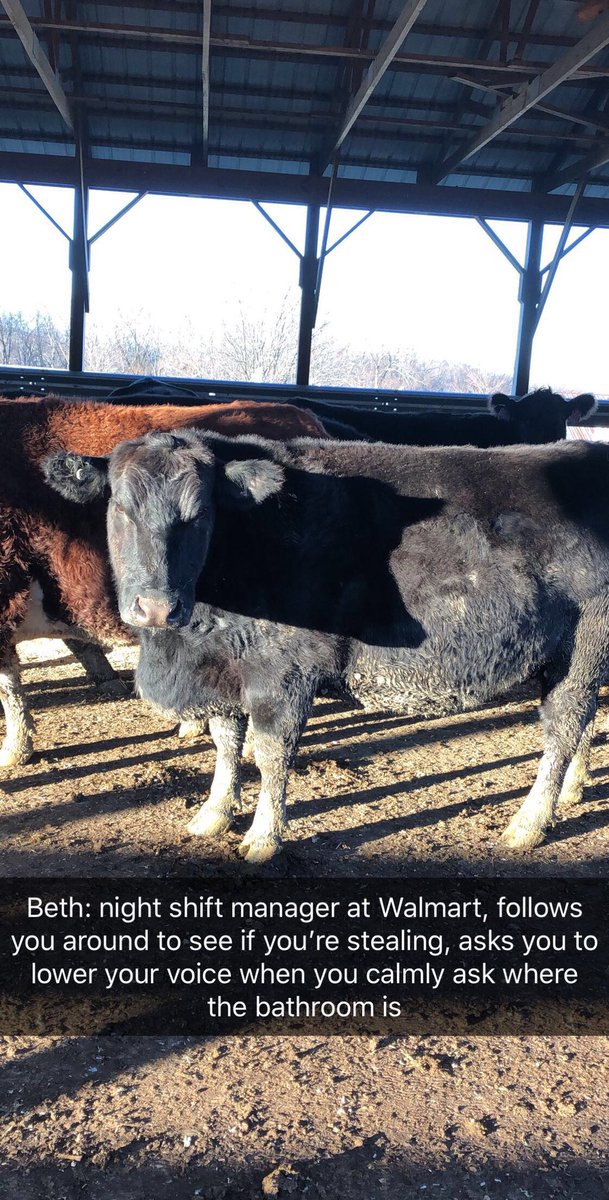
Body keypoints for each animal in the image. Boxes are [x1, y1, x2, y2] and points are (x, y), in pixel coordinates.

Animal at [45, 428, 609, 863]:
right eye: (121, 508)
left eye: (200, 513)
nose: (158, 607)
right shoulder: (225, 670)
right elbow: (226, 744)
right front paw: (213, 814)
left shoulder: (282, 673)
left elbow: (270, 753)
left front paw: (263, 837)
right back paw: (572, 791)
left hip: (582, 650)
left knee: (564, 726)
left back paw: (530, 822)